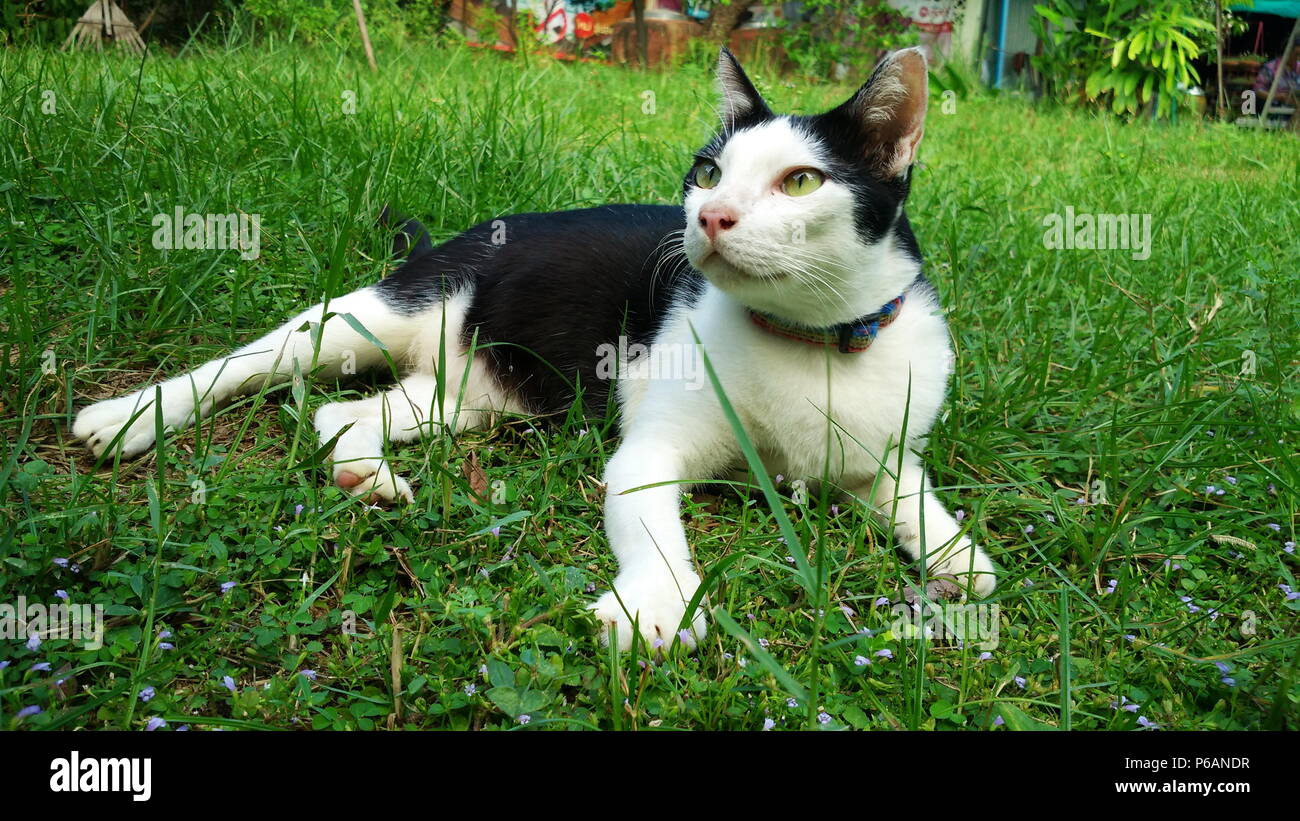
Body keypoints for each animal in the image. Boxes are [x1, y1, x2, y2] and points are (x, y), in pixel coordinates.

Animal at [73, 48, 993, 652]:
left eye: (801, 181)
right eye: (707, 171)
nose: (709, 215)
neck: (815, 339)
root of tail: (464, 233)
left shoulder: (880, 456)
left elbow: (924, 509)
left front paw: (961, 562)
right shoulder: (647, 450)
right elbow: (657, 531)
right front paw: (656, 606)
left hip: (470, 397)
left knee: (344, 414)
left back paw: (366, 475)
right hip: (373, 314)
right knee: (248, 363)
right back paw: (129, 417)